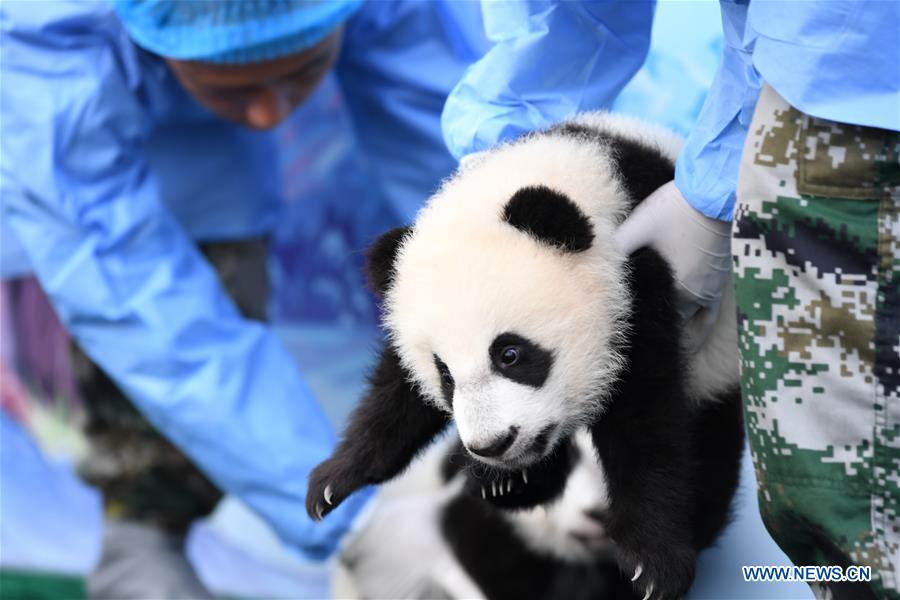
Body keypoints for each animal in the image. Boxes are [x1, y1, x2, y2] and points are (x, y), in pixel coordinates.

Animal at [307, 112, 745, 599]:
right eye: (445, 376)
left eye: (510, 354)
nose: (492, 445)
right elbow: (395, 394)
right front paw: (333, 481)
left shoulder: (641, 280)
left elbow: (647, 419)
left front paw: (652, 562)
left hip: (718, 367)